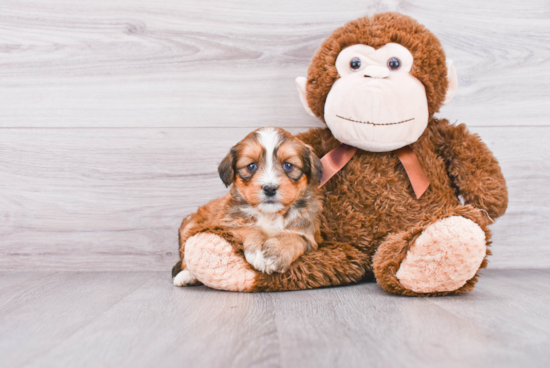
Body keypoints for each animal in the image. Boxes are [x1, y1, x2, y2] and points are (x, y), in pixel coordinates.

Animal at [175, 127, 326, 288]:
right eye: (251, 166)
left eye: (288, 165)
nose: (270, 188)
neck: (270, 215)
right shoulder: (227, 223)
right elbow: (251, 228)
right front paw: (257, 249)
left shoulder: (310, 235)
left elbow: (296, 237)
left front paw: (277, 252)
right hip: (189, 226)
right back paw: (186, 276)